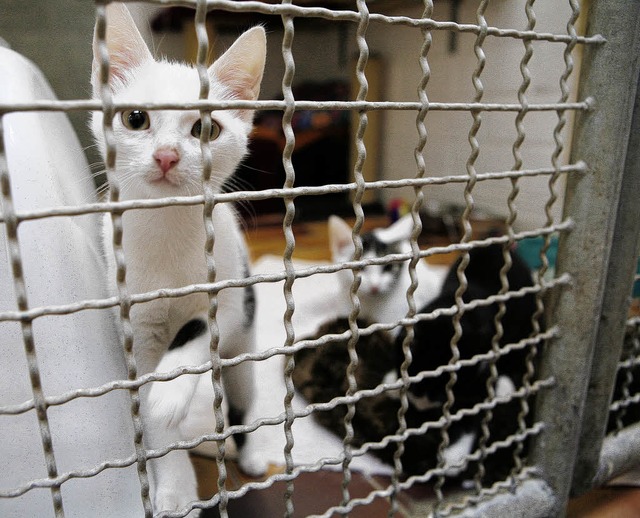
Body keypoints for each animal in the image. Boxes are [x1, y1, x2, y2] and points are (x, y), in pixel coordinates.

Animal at [90, 4, 264, 516]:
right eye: (135, 118)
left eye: (206, 128)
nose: (167, 155)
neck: (165, 225)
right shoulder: (137, 326)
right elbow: (149, 404)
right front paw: (174, 485)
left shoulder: (228, 294)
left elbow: (199, 328)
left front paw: (170, 391)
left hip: (244, 355)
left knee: (242, 404)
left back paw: (250, 454)